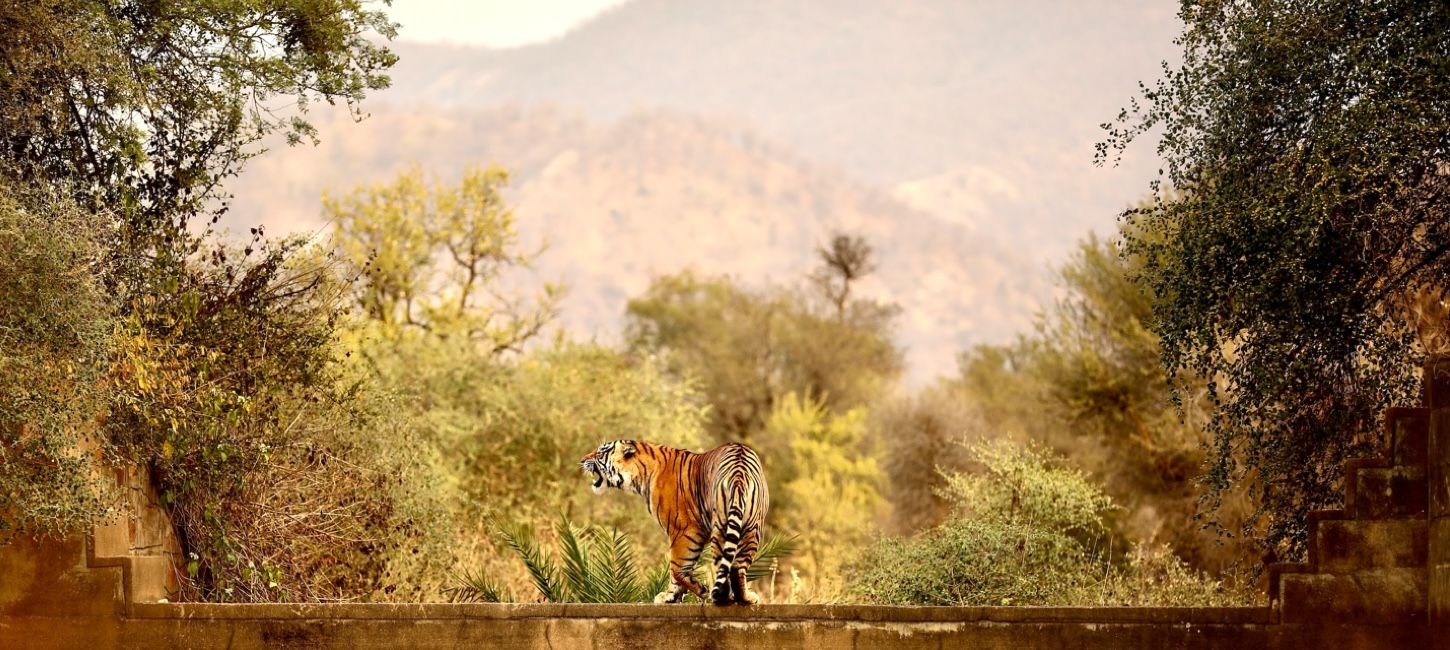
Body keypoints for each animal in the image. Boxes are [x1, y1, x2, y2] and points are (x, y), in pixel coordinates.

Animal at [582, 438, 777, 606]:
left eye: (600, 453)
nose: (582, 459)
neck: (641, 476)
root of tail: (739, 469)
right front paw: (676, 596)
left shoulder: (684, 530)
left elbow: (676, 568)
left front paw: (684, 593)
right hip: (751, 527)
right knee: (737, 567)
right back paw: (743, 598)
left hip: (721, 527)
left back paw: (722, 596)